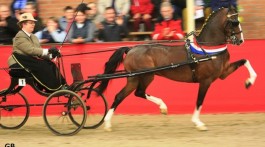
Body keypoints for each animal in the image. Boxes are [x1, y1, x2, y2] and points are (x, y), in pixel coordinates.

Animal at [96, 6, 256, 131]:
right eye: (234, 22)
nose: (241, 40)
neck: (207, 48)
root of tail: (130, 49)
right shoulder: (206, 80)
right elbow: (199, 101)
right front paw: (198, 123)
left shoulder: (223, 73)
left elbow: (245, 61)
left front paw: (249, 82)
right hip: (145, 76)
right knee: (136, 93)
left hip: (134, 78)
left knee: (123, 95)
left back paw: (109, 123)